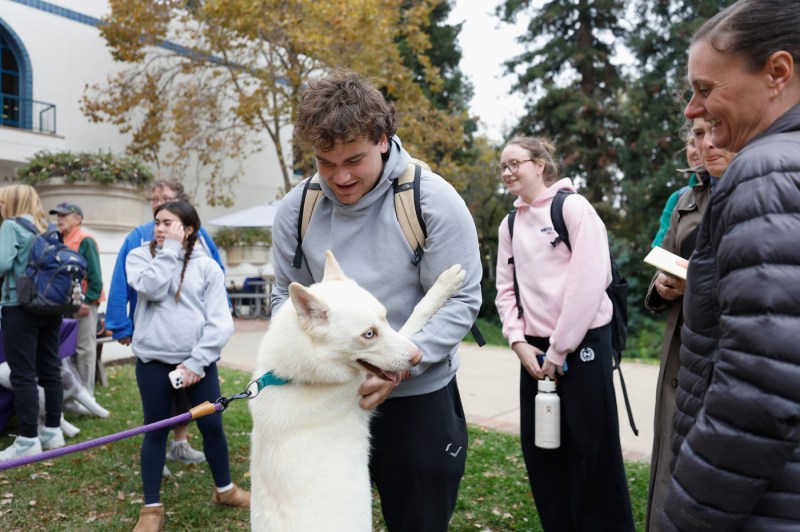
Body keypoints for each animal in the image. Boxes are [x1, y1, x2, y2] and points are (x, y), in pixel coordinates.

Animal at [248, 251, 462, 528]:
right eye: (369, 334)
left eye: (385, 317)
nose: (418, 357)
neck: (293, 378)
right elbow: (416, 314)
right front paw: (445, 284)